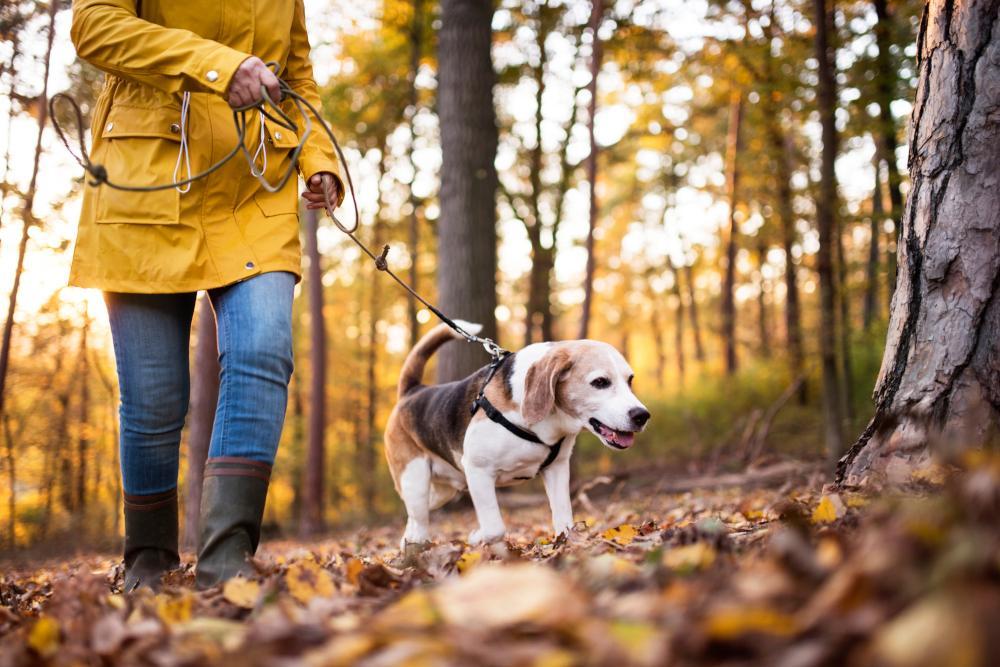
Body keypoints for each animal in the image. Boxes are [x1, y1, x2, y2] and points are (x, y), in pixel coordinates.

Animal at [380, 324, 648, 548]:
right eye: (600, 382)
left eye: (630, 380)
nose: (642, 415)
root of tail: (412, 391)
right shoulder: (478, 471)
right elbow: (495, 529)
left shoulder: (557, 469)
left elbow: (564, 521)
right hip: (415, 480)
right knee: (420, 519)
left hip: (442, 491)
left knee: (414, 519)